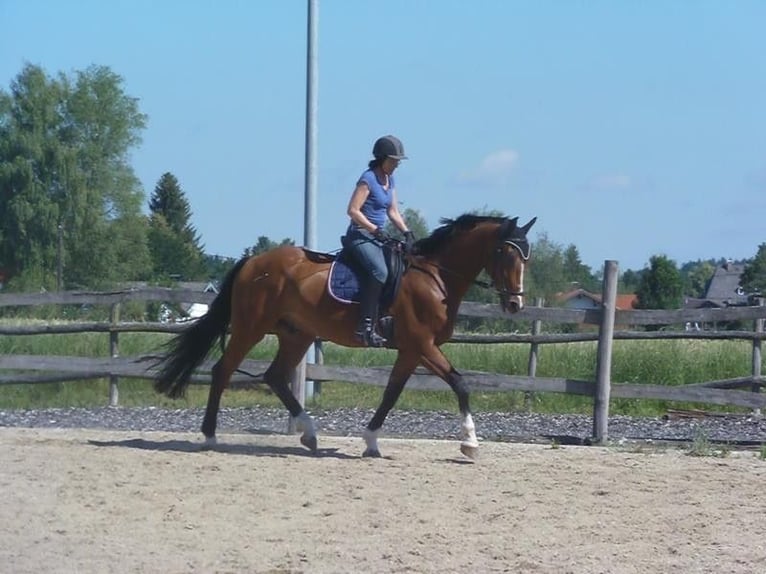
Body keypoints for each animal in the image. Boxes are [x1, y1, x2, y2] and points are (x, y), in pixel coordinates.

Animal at [153, 214, 536, 462]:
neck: (435, 277)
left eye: (526, 256)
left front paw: (371, 442)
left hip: (297, 334)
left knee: (275, 376)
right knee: (223, 371)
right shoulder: (424, 345)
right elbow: (461, 384)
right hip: (251, 328)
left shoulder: (411, 351)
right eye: (505, 253)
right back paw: (209, 435)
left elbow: (391, 394)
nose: (515, 304)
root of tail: (252, 262)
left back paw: (309, 434)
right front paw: (470, 443)